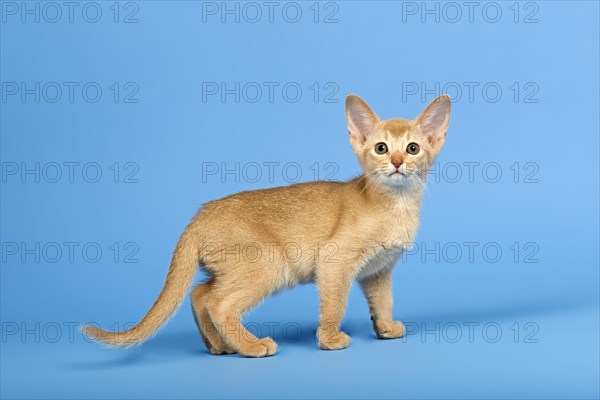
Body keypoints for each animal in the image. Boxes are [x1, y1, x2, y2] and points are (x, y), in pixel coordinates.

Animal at [83, 94, 450, 356]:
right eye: (381, 148)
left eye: (413, 148)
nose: (398, 162)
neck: (396, 204)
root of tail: (199, 215)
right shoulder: (334, 260)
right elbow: (335, 303)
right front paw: (330, 339)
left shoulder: (379, 270)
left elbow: (383, 300)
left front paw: (385, 328)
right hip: (269, 263)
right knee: (218, 303)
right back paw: (251, 346)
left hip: (230, 267)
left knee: (200, 294)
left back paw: (220, 346)